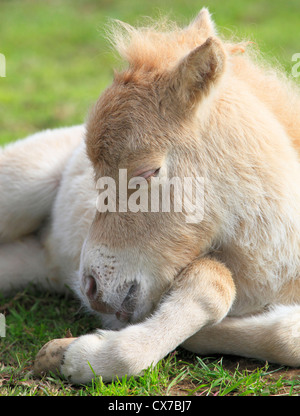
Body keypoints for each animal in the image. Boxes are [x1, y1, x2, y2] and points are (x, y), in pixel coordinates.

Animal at [0, 7, 300, 384]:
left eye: (148, 172)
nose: (91, 287)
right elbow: (214, 286)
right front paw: (73, 356)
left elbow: (285, 336)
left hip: (31, 262)